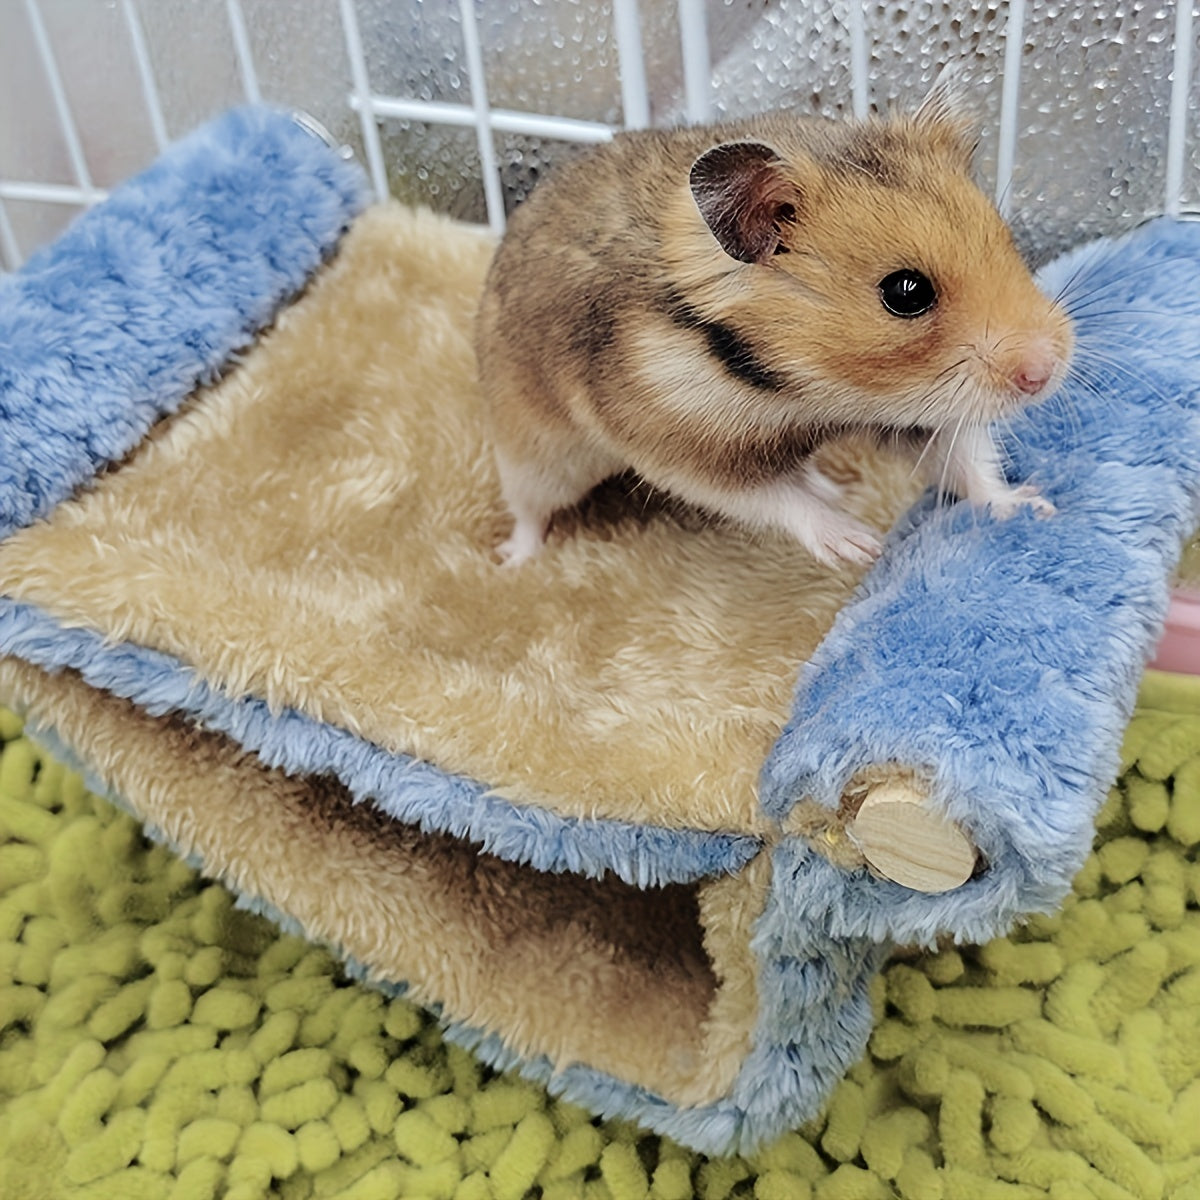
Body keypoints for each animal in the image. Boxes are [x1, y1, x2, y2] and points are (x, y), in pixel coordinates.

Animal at [475, 95, 1074, 566]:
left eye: (1006, 240)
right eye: (906, 293)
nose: (1045, 374)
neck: (803, 390)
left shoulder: (912, 411)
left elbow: (967, 462)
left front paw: (1035, 507)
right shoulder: (680, 449)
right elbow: (772, 497)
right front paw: (860, 545)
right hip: (534, 455)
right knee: (529, 509)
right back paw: (511, 561)